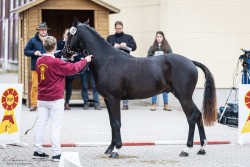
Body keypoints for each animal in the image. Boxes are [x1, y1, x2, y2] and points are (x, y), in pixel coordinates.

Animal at [63, 18, 217, 158]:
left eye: (69, 35)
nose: (64, 54)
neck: (108, 61)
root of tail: (191, 62)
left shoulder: (114, 99)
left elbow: (116, 123)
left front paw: (116, 149)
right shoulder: (107, 99)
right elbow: (112, 123)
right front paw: (110, 147)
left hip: (184, 97)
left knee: (191, 117)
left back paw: (186, 149)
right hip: (184, 96)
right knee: (198, 115)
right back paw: (202, 148)